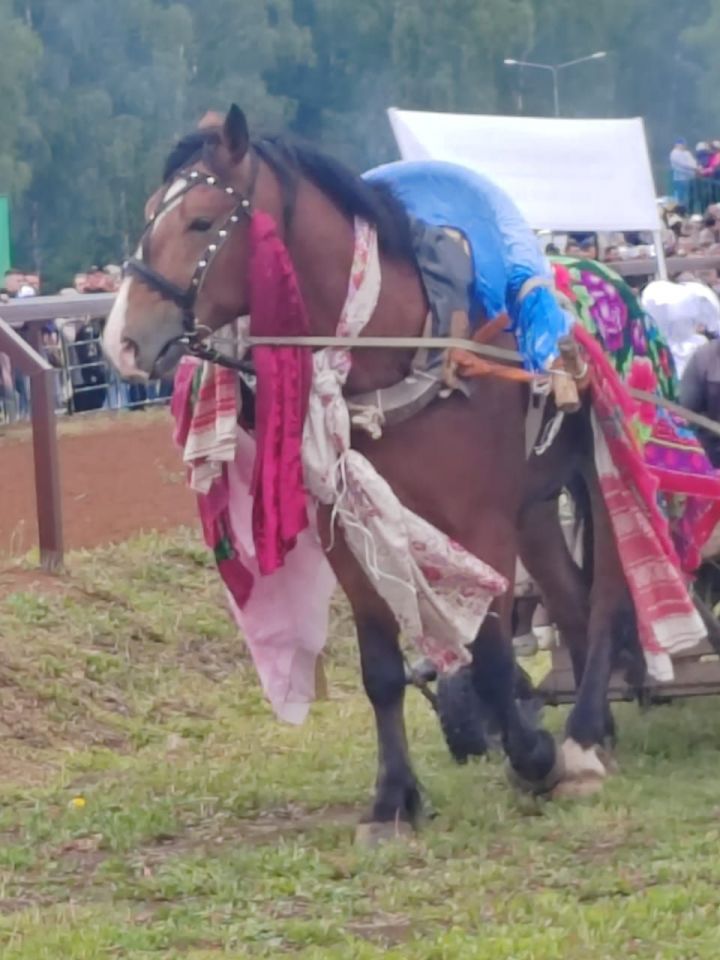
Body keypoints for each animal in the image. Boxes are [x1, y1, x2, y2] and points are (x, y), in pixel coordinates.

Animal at [102, 103, 564, 832]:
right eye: (151, 212)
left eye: (201, 221)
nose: (117, 340)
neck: (401, 347)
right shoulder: (346, 529)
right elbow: (380, 671)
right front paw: (395, 796)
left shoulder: (484, 523)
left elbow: (490, 651)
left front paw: (535, 757)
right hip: (539, 511)